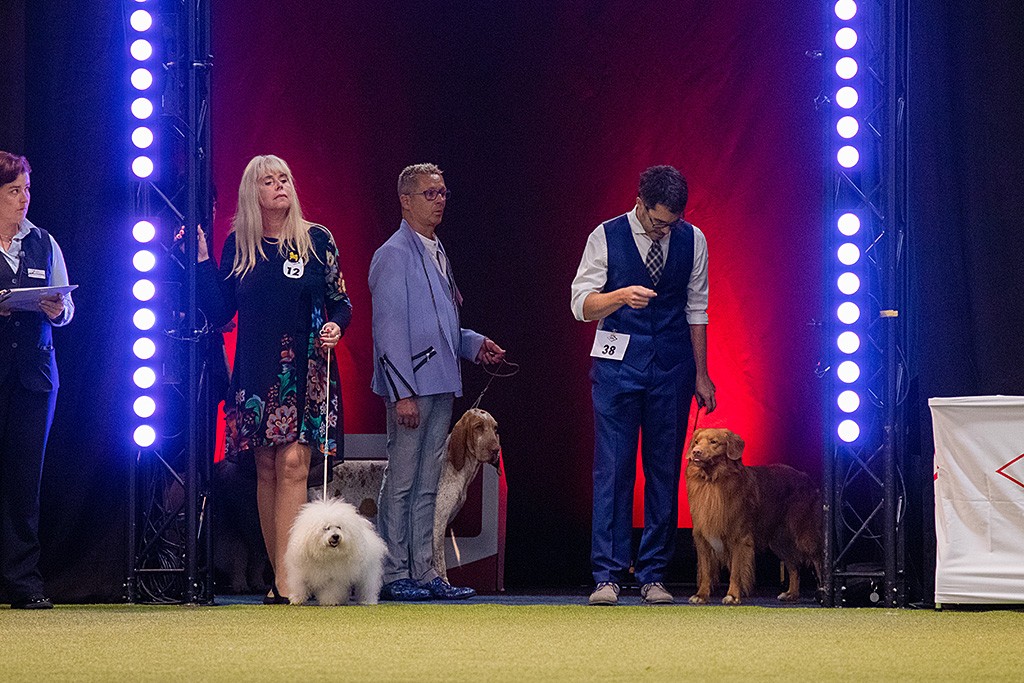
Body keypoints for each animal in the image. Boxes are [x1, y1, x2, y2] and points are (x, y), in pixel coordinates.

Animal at [684, 430, 819, 606]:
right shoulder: (702, 537)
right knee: (793, 565)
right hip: (779, 540)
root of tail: (806, 476)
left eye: (714, 442)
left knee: (819, 560)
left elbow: (736, 571)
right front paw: (701, 595)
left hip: (803, 533)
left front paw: (732, 596)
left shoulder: (739, 537)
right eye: (696, 442)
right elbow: (706, 570)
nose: (696, 452)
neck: (712, 482)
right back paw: (791, 594)